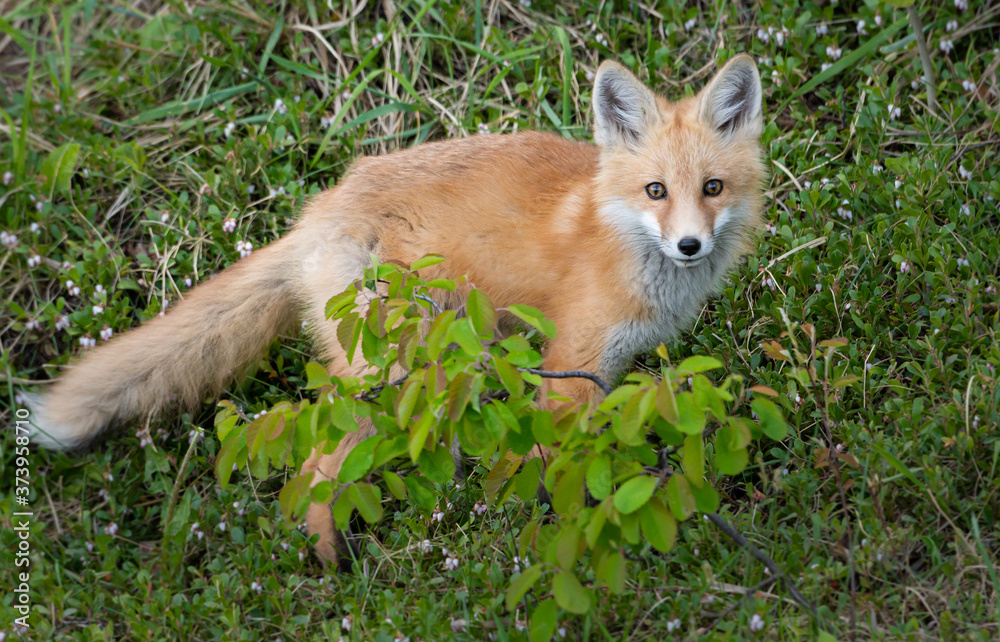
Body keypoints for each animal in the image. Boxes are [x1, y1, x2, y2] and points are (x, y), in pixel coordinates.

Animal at [27, 55, 766, 567]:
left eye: (712, 188)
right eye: (655, 191)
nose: (690, 245)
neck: (617, 237)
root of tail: (319, 209)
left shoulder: (608, 369)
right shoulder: (571, 365)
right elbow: (562, 473)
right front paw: (565, 540)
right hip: (389, 372)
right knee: (314, 467)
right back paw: (332, 565)